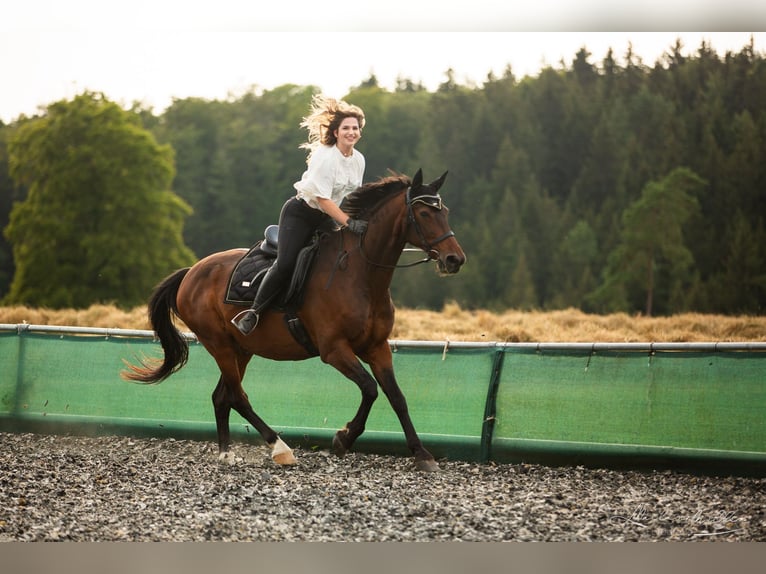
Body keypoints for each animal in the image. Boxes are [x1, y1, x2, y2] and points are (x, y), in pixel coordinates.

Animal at [122, 169, 466, 472]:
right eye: (424, 214)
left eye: (446, 211)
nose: (455, 259)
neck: (361, 275)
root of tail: (191, 272)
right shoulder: (334, 350)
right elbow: (370, 389)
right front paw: (343, 438)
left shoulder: (377, 347)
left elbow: (397, 397)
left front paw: (422, 454)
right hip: (219, 345)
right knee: (238, 396)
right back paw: (280, 448)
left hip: (240, 349)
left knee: (223, 396)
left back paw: (227, 453)